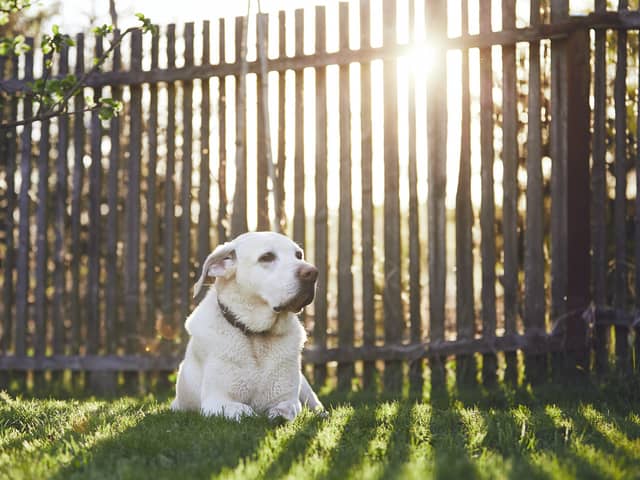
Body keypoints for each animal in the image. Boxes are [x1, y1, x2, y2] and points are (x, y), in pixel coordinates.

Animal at [171, 232, 324, 420]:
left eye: (299, 255)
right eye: (267, 257)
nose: (313, 272)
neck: (257, 336)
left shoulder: (288, 399)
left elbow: (285, 409)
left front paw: (277, 414)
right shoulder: (217, 401)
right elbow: (246, 411)